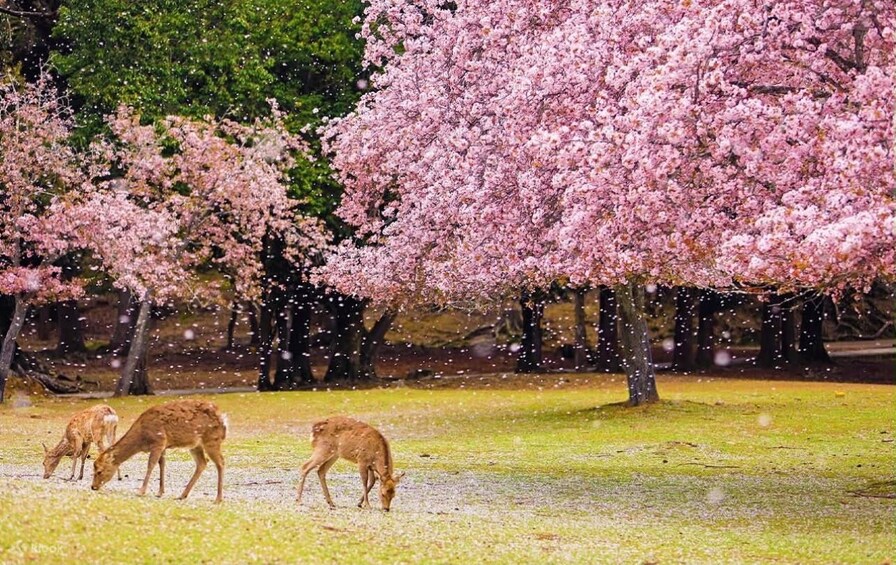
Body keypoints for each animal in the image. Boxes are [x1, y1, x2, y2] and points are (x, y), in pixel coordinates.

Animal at [91, 399, 227, 503]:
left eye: (99, 471)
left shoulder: (158, 441)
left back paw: (218, 499)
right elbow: (162, 464)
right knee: (202, 462)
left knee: (220, 462)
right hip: (195, 445)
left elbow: (151, 465)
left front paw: (141, 491)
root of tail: (223, 418)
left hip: (212, 440)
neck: (141, 439)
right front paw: (160, 492)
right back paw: (182, 495)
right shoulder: (163, 446)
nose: (93, 487)